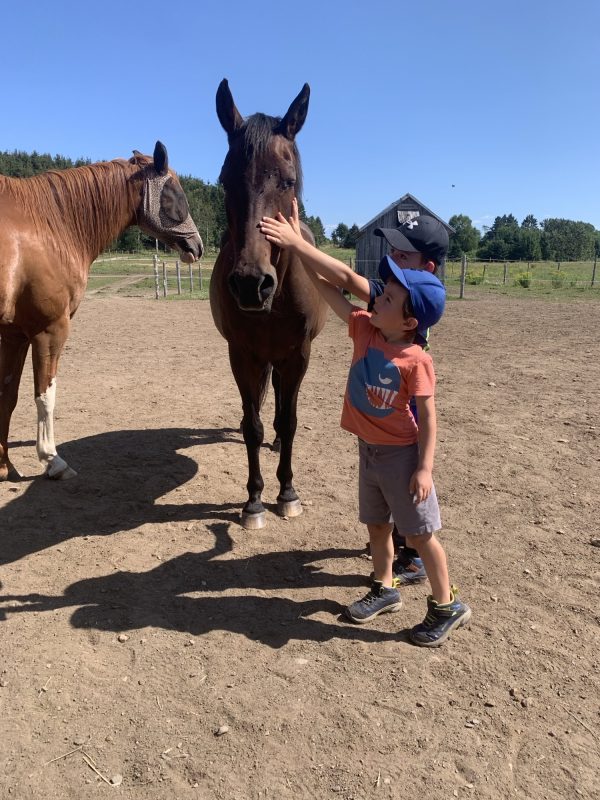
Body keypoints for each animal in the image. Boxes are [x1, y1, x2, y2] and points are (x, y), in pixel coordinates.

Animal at [0, 141, 203, 481]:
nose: (197, 247)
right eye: (173, 194)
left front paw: (4, 466)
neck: (46, 224)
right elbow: (45, 395)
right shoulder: (49, 330)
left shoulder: (14, 334)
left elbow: (7, 394)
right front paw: (52, 460)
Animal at [209, 80, 328, 529]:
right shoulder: (242, 355)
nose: (250, 284)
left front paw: (288, 492)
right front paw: (254, 500)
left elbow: (288, 422)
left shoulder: (298, 355)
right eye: (226, 181)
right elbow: (252, 426)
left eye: (288, 181)